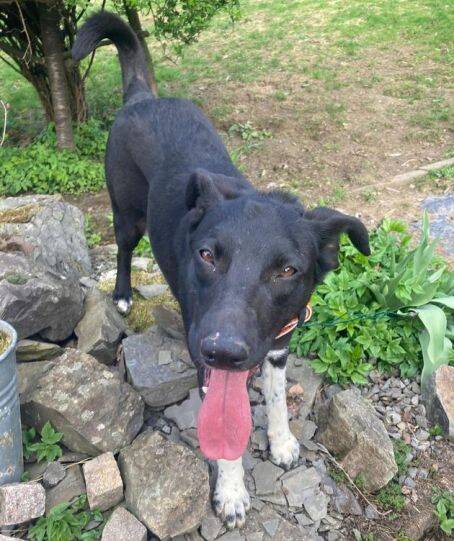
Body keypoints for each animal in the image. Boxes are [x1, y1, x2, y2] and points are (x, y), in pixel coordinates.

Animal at [73, 12, 370, 530]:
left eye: (287, 270)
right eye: (208, 255)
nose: (224, 351)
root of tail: (142, 97)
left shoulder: (279, 342)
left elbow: (276, 396)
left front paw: (283, 441)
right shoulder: (208, 360)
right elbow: (226, 435)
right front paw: (231, 493)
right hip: (127, 214)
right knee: (124, 250)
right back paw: (124, 294)